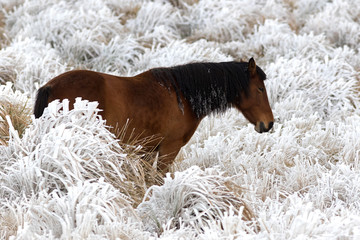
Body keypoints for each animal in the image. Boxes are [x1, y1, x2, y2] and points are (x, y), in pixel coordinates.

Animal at [35, 57, 274, 172]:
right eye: (260, 89)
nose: (269, 123)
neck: (182, 97)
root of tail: (50, 86)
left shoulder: (148, 149)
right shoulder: (169, 148)